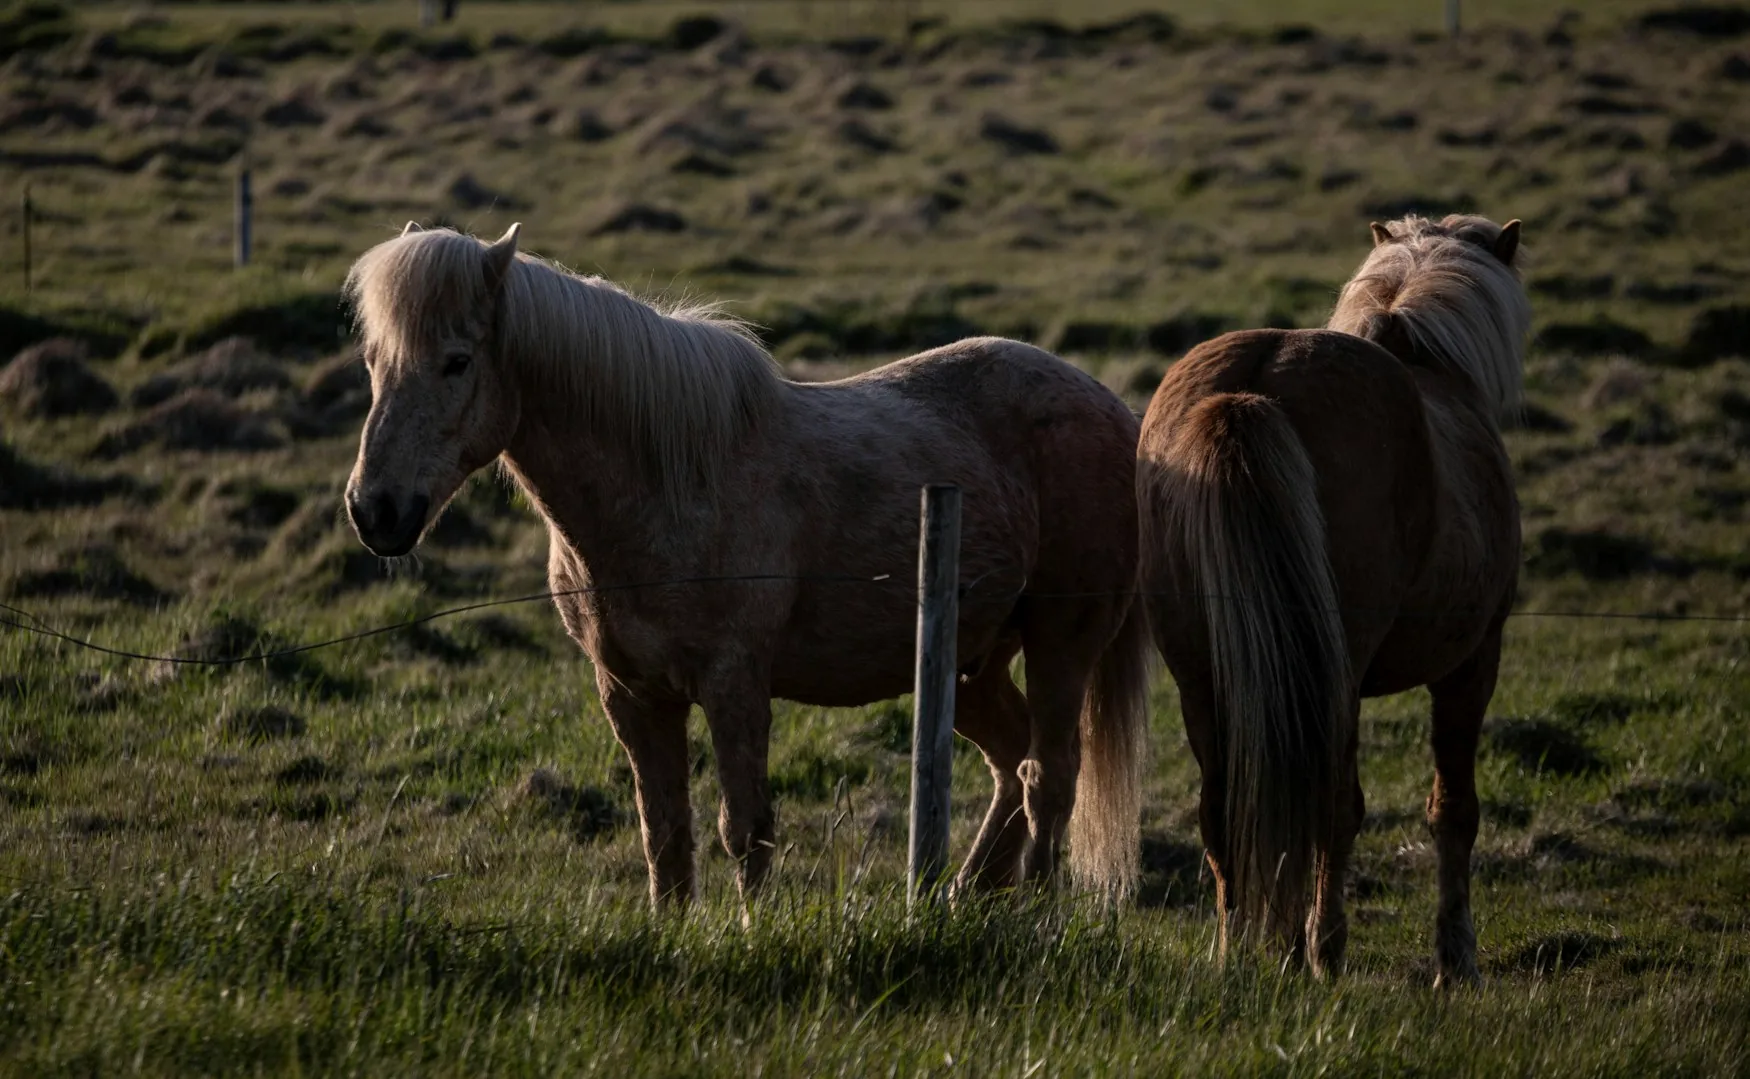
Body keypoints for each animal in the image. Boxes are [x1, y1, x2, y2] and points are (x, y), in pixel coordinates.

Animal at [341, 222, 1151, 907]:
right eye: (373, 362)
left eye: (456, 362)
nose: (374, 510)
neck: (666, 485)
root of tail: (1115, 411)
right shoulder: (631, 693)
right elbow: (664, 833)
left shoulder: (734, 682)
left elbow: (744, 828)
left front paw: (752, 932)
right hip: (969, 662)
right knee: (1013, 763)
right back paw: (960, 899)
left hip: (1060, 640)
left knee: (1050, 776)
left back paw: (1034, 914)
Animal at [1135, 213, 1529, 984]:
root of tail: (1256, 387)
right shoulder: (1475, 660)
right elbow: (1453, 809)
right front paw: (1455, 956)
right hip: (1333, 675)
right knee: (1330, 806)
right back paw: (1319, 950)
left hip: (1202, 675)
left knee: (1224, 808)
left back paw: (1239, 950)